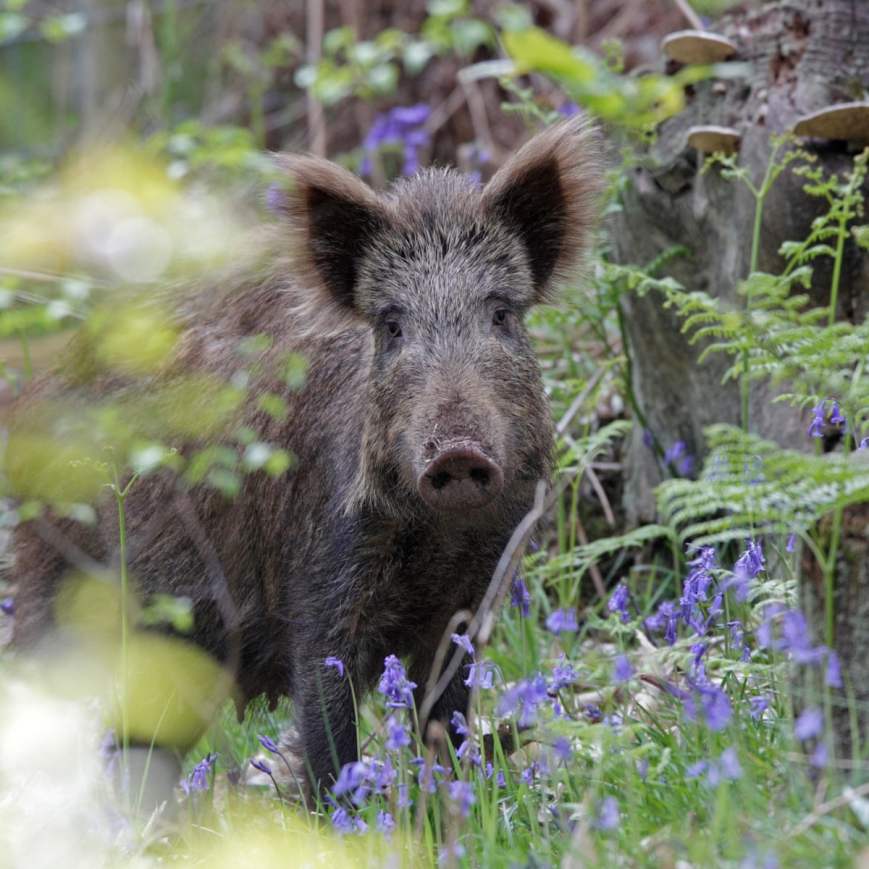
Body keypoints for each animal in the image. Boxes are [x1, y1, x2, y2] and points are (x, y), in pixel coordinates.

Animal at [10, 116, 602, 794]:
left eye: (501, 314)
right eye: (391, 325)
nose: (455, 453)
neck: (436, 538)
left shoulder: (475, 593)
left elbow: (445, 715)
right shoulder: (322, 578)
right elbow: (328, 730)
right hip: (65, 593)